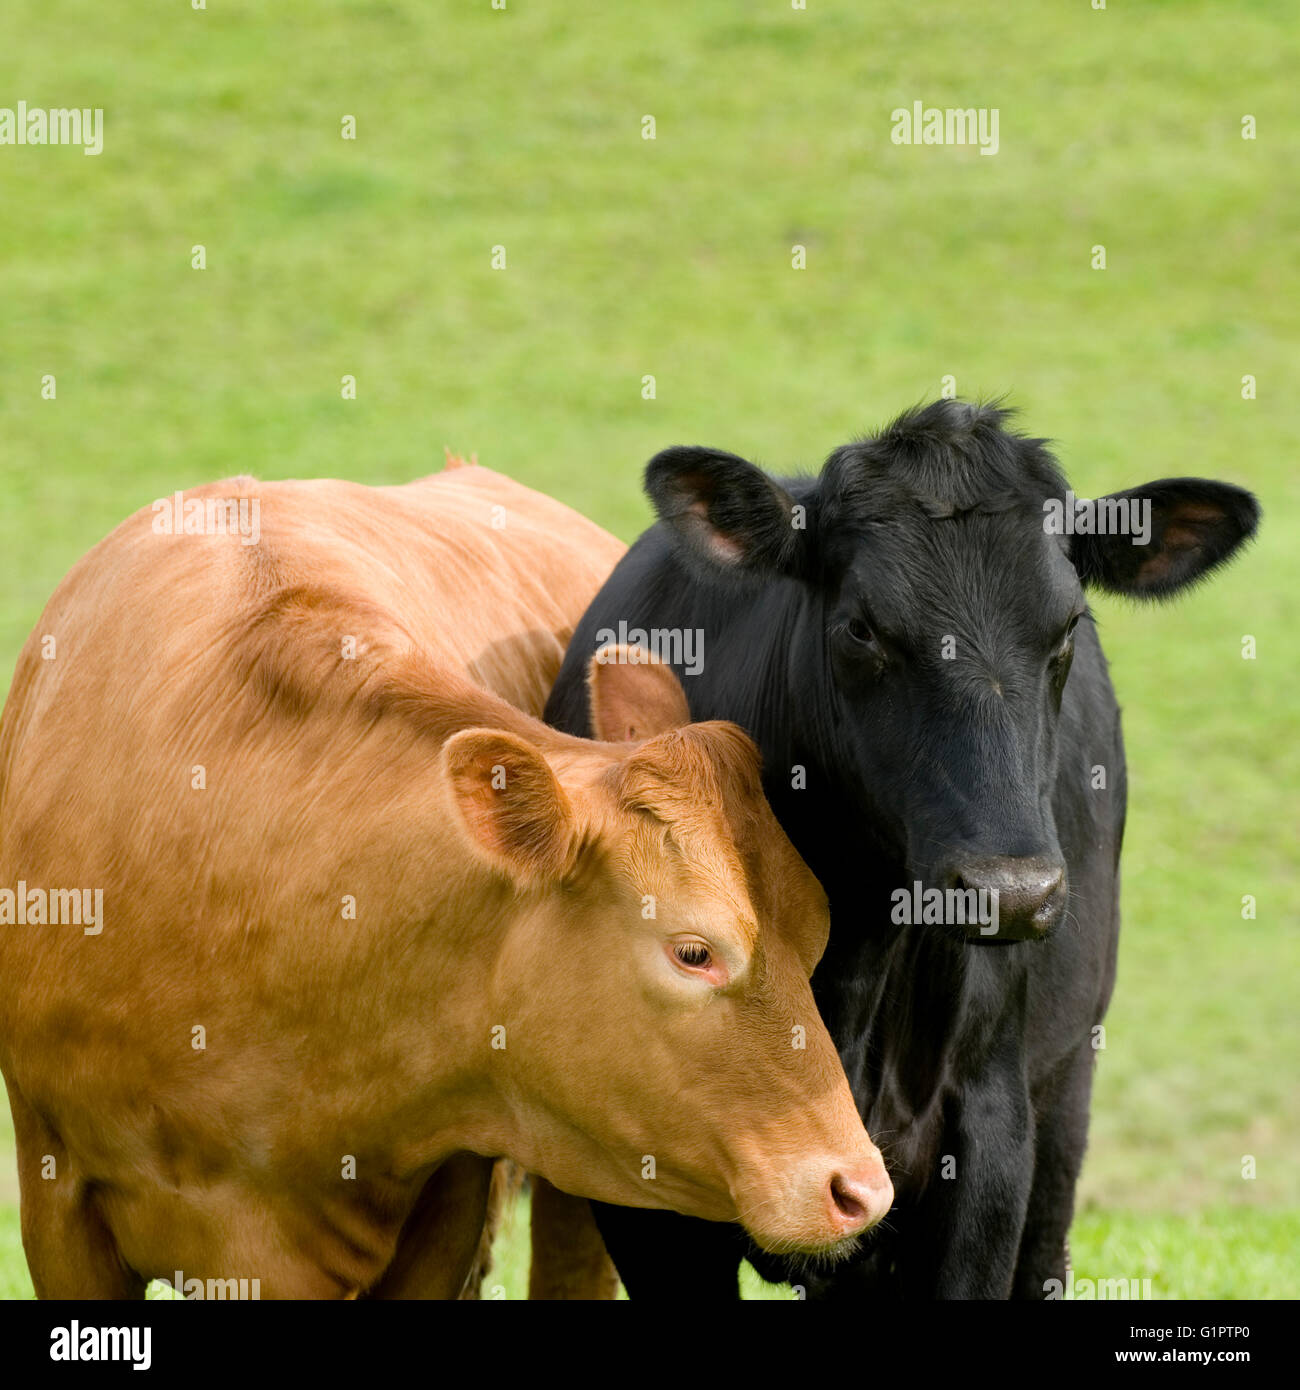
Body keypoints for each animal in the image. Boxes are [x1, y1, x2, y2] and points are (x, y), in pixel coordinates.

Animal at [545, 400, 1256, 1301]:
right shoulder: (641, 1191)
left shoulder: (987, 1139)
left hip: (1065, 1095)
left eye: (1067, 627)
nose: (1009, 890)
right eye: (861, 628)